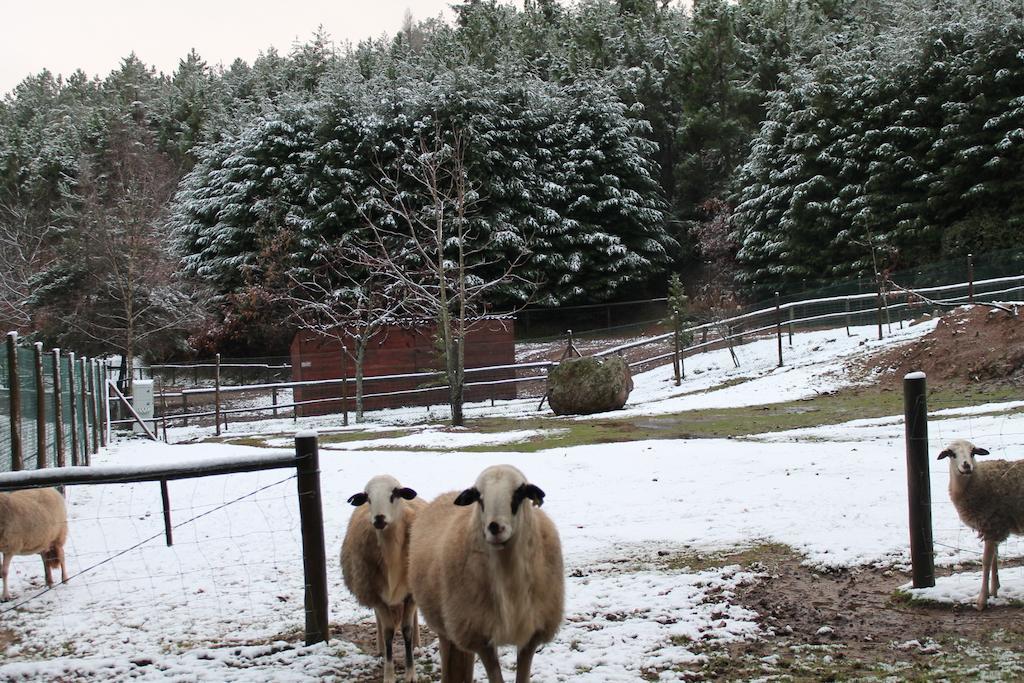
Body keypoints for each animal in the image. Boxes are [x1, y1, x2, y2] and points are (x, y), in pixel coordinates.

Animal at [342, 475, 425, 683]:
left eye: (394, 494)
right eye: (368, 498)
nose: (379, 519)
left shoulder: (410, 594)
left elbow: (407, 629)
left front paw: (411, 674)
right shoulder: (376, 595)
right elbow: (388, 631)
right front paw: (389, 675)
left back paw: (417, 645)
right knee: (379, 621)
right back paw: (380, 649)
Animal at [407, 464, 569, 683]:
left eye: (519, 493)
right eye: (479, 497)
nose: (495, 527)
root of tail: (445, 494)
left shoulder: (531, 634)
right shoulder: (480, 636)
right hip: (447, 626)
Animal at [937, 440, 1024, 610]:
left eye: (973, 452)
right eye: (951, 453)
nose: (966, 465)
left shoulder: (991, 524)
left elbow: (986, 562)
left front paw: (982, 600)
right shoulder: (994, 527)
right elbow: (994, 558)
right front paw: (994, 590)